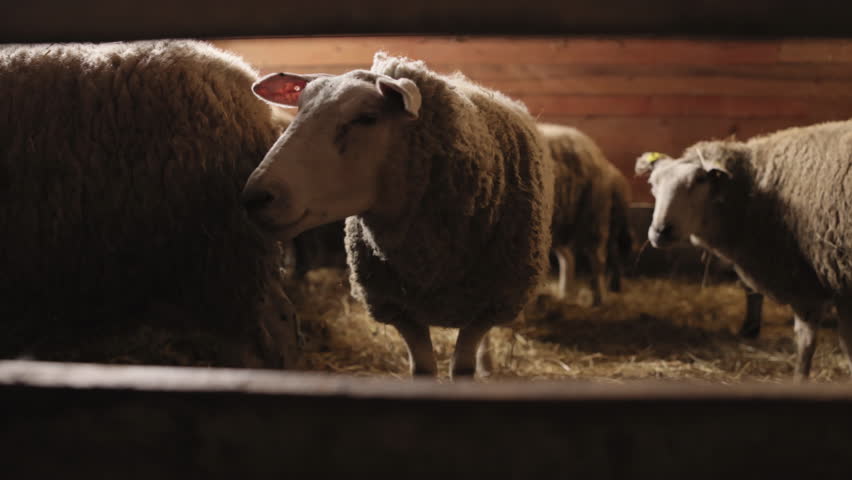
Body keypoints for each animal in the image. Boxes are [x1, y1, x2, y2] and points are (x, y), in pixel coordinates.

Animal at [242, 52, 554, 378]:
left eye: (366, 117)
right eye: (300, 108)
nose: (256, 197)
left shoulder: (488, 303)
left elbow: (463, 368)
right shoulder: (398, 307)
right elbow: (424, 370)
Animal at [540, 123, 632, 305]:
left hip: (593, 216)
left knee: (597, 259)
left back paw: (598, 298)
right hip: (562, 221)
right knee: (568, 257)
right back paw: (564, 294)